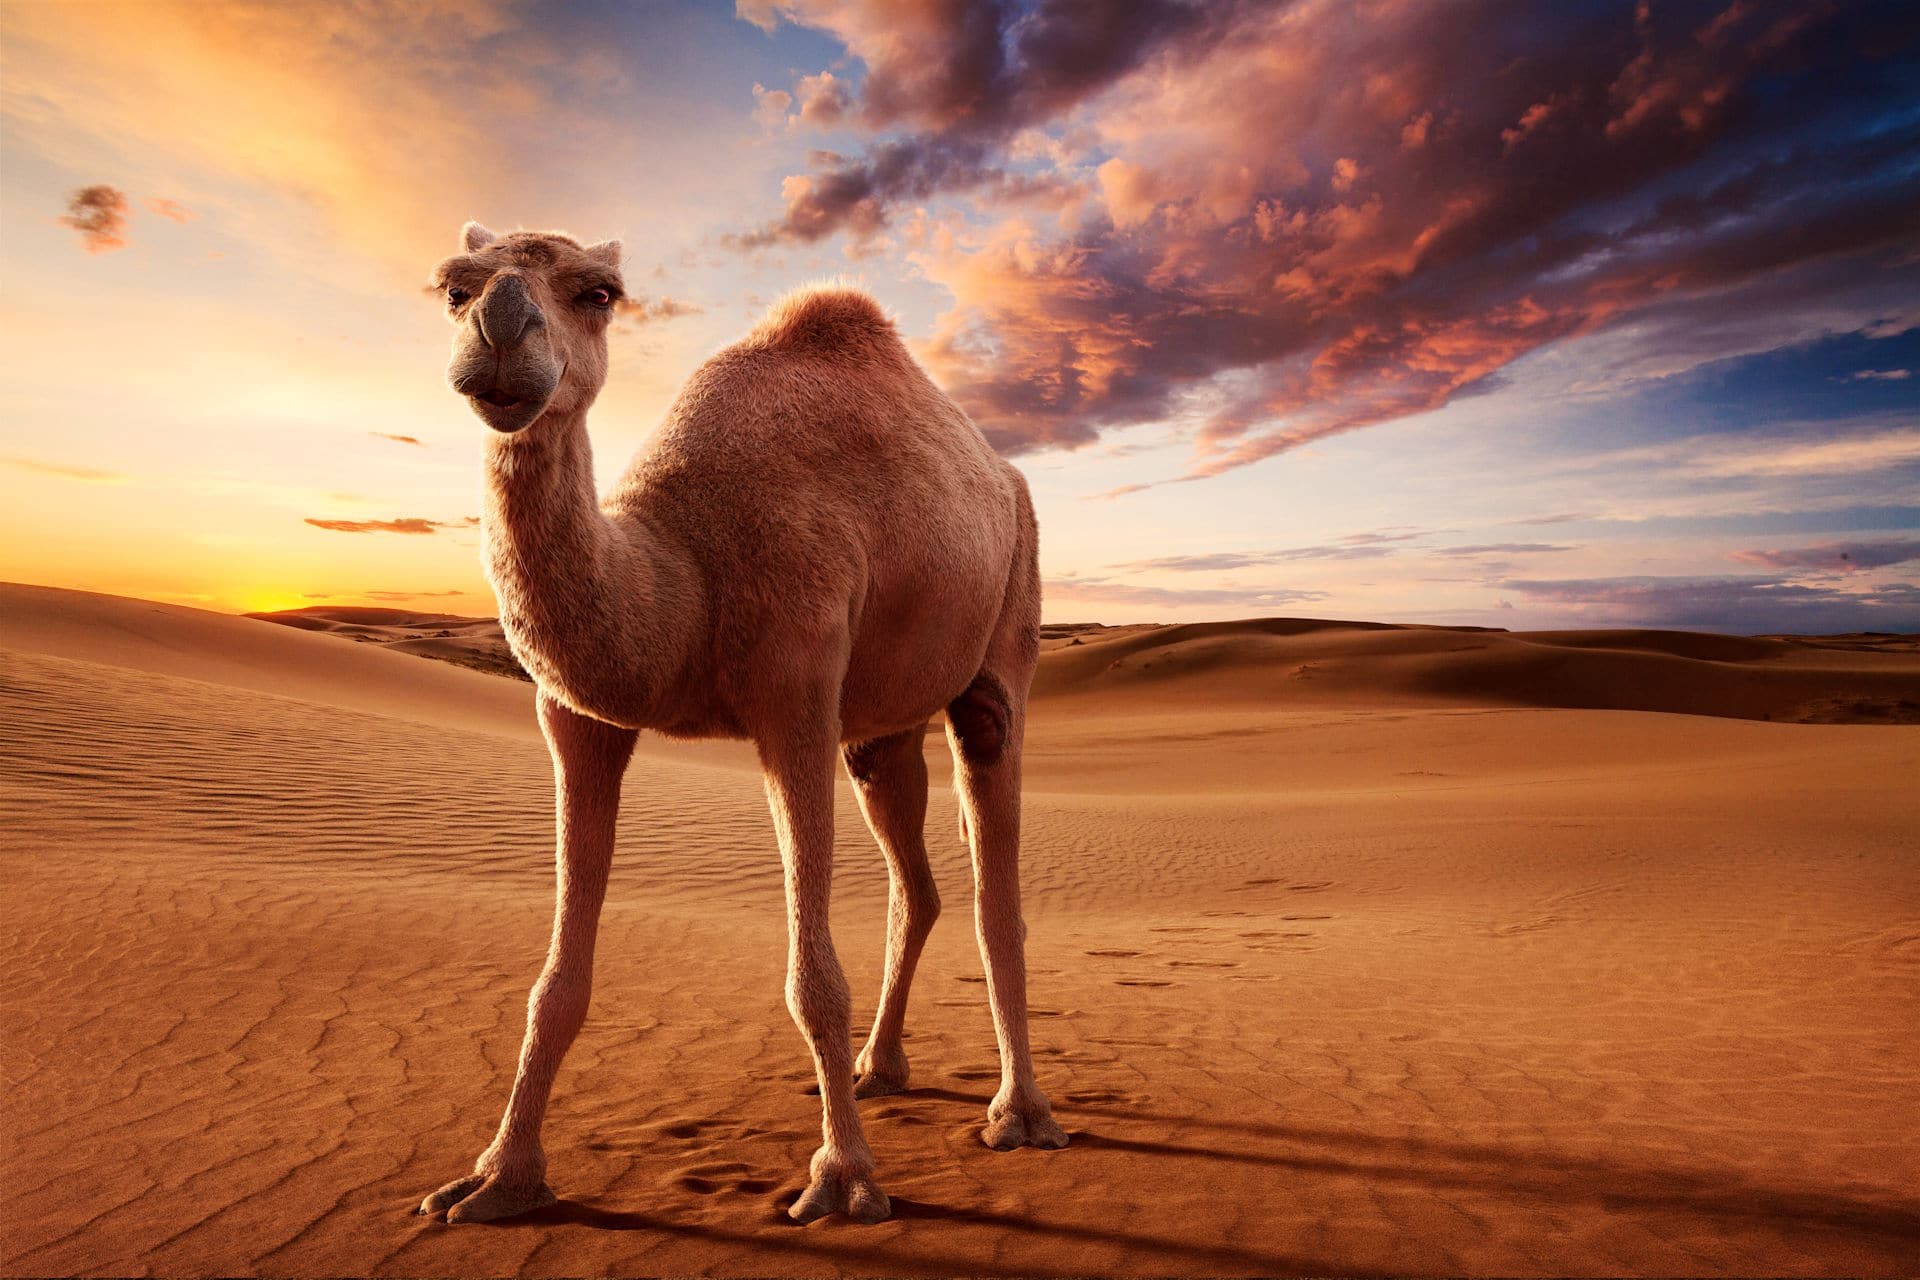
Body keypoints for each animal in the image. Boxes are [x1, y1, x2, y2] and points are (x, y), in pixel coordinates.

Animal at [415, 223, 1066, 1227]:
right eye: (453, 287)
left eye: (600, 292)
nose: (501, 331)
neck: (684, 575)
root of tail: (1003, 471)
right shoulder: (578, 718)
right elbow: (557, 980)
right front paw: (498, 1178)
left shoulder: (796, 697)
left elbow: (812, 976)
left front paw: (844, 1178)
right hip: (879, 726)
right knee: (913, 878)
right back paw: (881, 1068)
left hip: (1010, 615)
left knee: (996, 864)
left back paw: (1020, 1114)